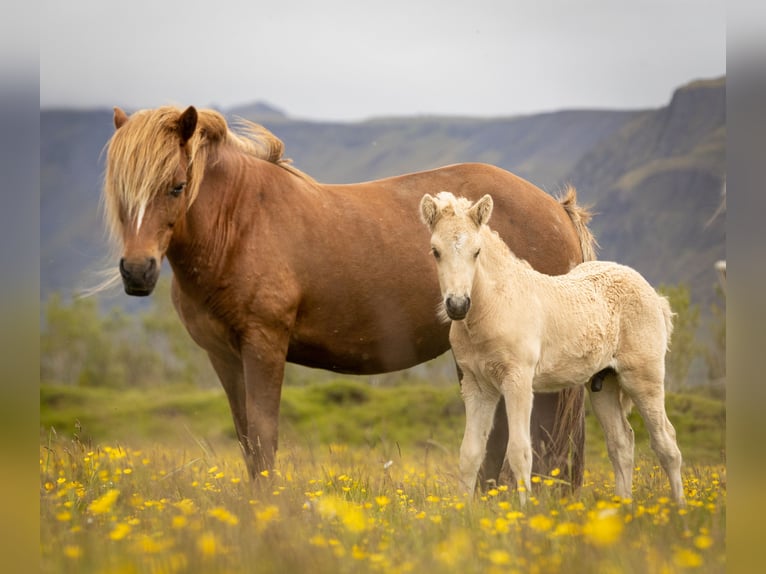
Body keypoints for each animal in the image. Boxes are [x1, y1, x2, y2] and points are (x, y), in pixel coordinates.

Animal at [101, 105, 597, 484]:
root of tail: (557, 209)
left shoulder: (264, 345)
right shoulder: (223, 355)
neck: (240, 222)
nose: (137, 272)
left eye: (177, 186)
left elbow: (264, 438)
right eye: (120, 192)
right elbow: (247, 442)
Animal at [419, 192, 685, 506]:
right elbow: (469, 454)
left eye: (477, 251)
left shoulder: (518, 380)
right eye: (436, 251)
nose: (458, 305)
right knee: (621, 442)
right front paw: (463, 510)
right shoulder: (477, 387)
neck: (495, 305)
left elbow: (520, 451)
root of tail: (653, 294)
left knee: (666, 442)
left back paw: (680, 508)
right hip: (604, 383)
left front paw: (523, 512)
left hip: (643, 378)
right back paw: (623, 507)